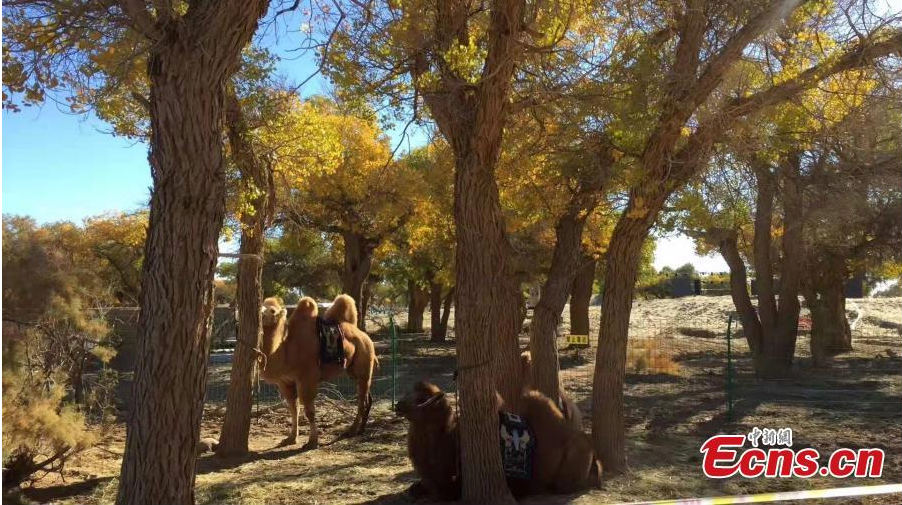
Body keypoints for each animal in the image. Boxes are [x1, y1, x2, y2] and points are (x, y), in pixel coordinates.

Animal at [258, 292, 378, 448]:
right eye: (262, 306)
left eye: (272, 310)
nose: (259, 314)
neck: (286, 350)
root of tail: (365, 336)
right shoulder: (285, 382)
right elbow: (293, 408)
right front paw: (291, 438)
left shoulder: (307, 378)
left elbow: (309, 411)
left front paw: (312, 441)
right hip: (353, 371)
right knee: (367, 397)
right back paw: (361, 429)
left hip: (365, 362)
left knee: (361, 400)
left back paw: (351, 431)